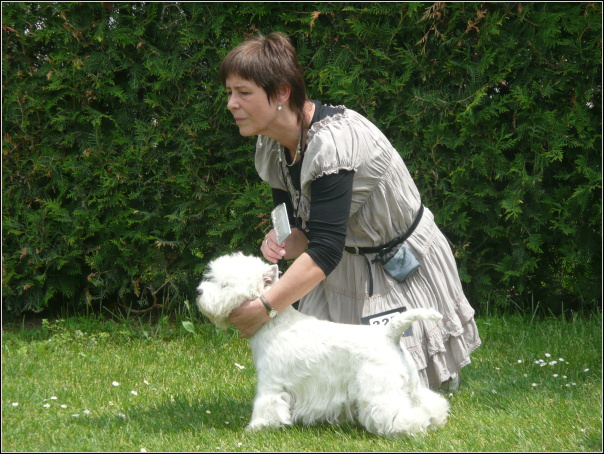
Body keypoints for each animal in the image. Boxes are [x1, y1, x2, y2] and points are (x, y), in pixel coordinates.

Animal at [196, 252, 450, 436]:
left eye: (225, 285)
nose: (198, 292)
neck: (272, 324)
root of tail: (389, 333)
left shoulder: (270, 382)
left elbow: (266, 405)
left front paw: (257, 427)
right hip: (411, 384)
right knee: (430, 402)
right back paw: (436, 419)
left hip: (380, 389)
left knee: (398, 413)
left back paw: (411, 429)